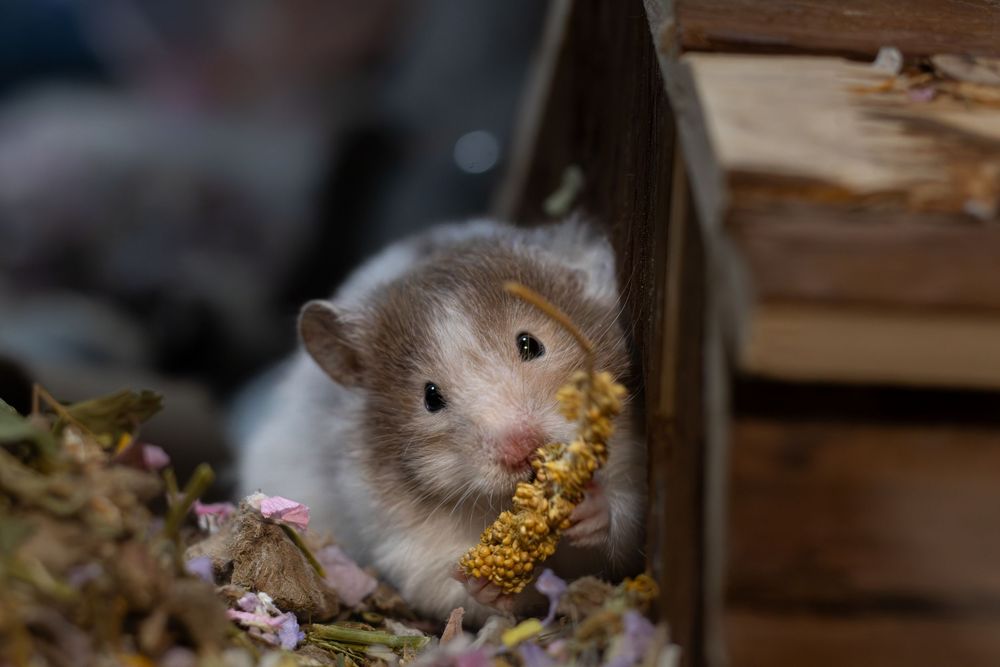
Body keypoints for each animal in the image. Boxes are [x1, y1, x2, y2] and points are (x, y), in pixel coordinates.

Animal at [238, 218, 646, 624]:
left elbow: (627, 518)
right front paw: (488, 585)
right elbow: (461, 592)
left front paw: (589, 506)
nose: (523, 450)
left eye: (530, 344)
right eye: (430, 397)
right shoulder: (409, 548)